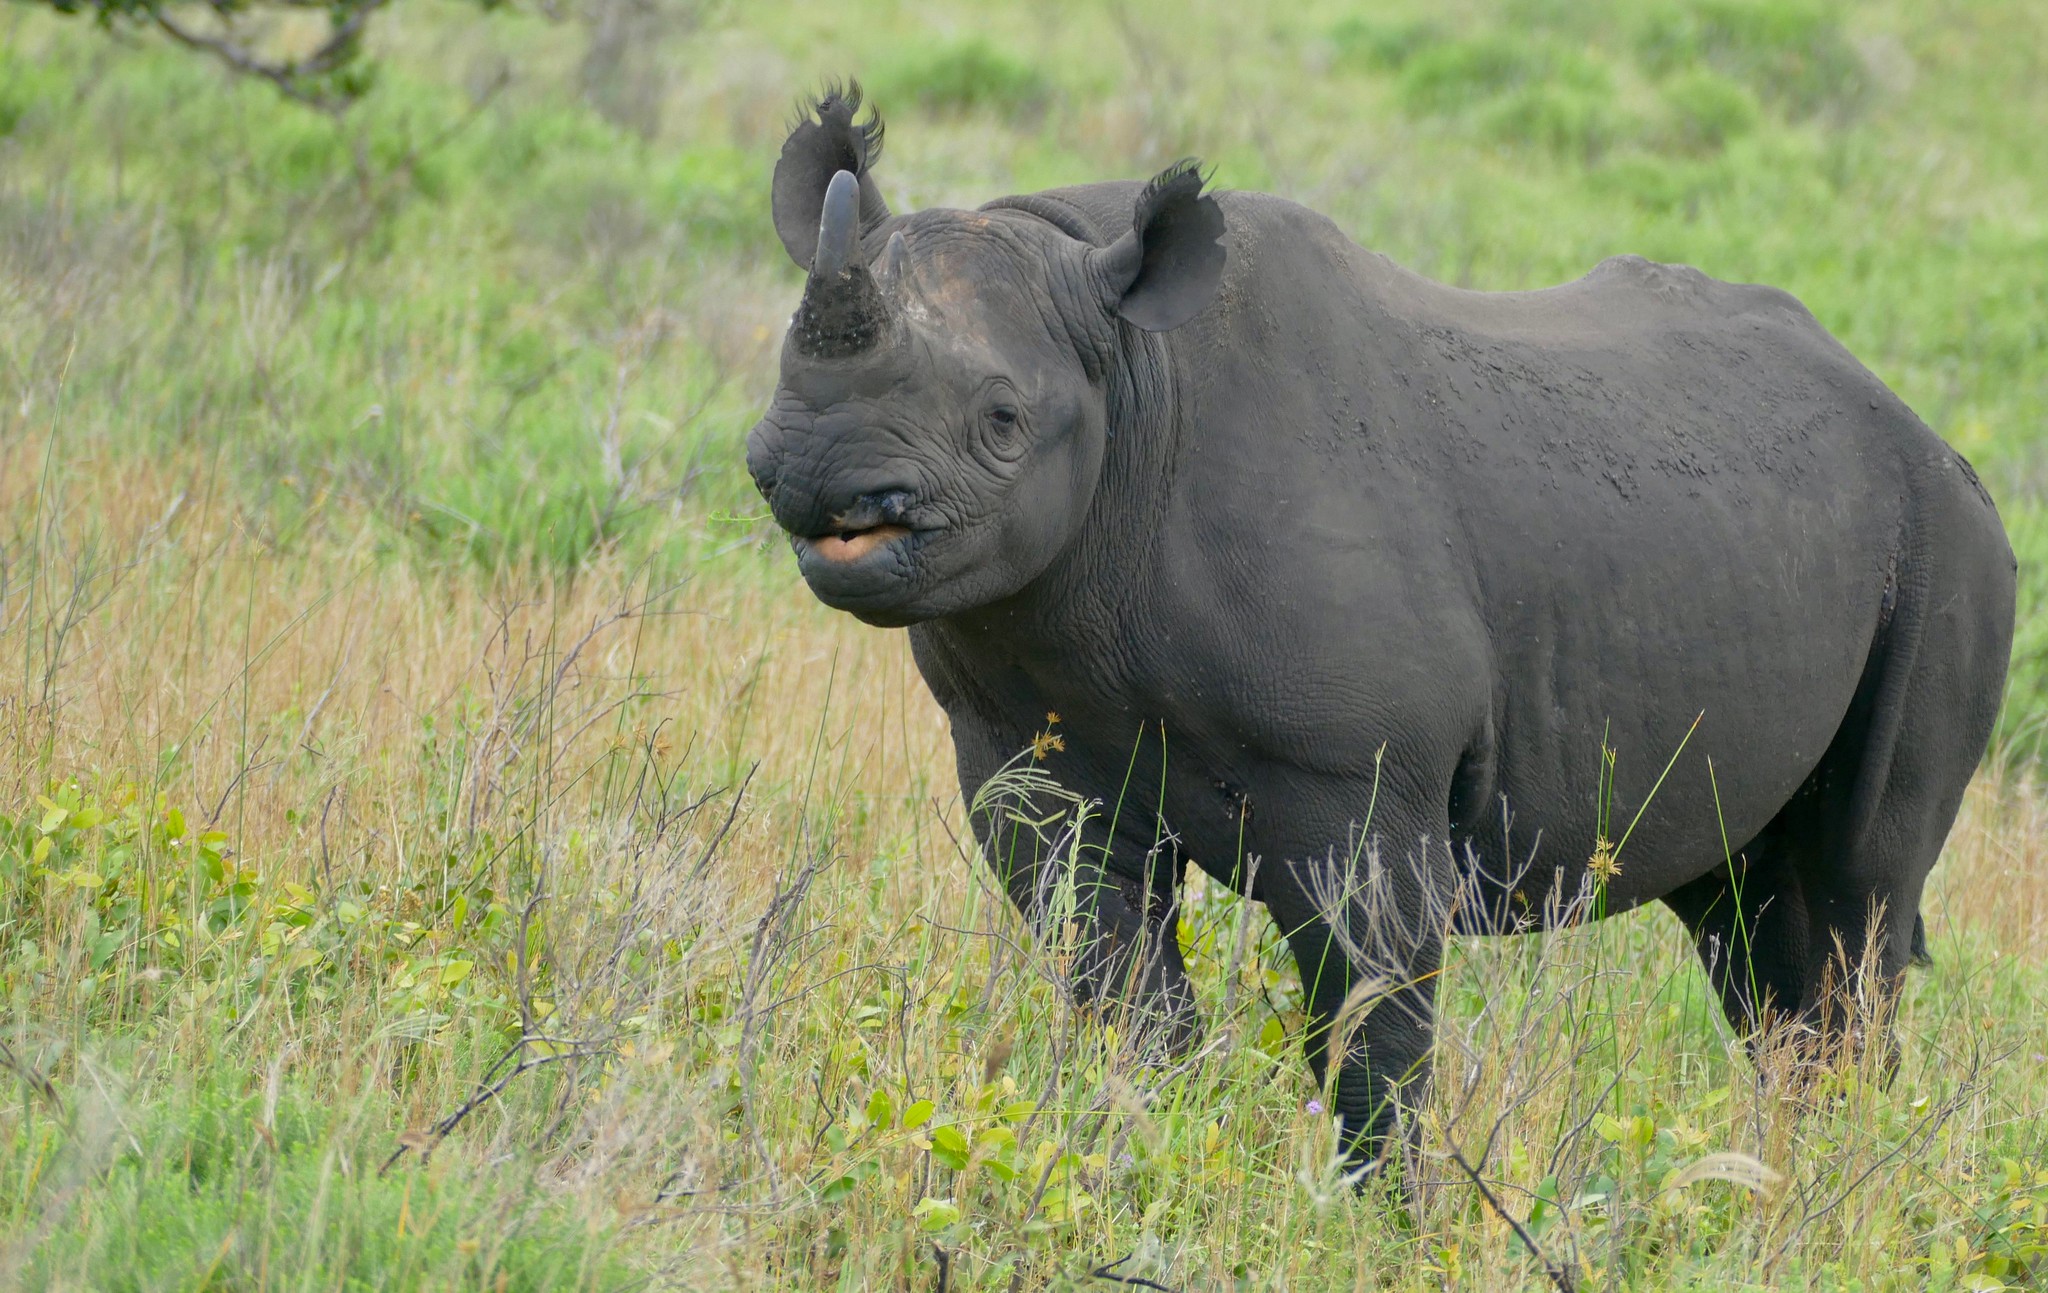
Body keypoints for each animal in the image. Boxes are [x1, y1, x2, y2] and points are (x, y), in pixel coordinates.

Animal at [745, 85, 2016, 1164]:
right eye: (777, 376)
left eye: (1002, 420)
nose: (811, 473)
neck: (1127, 380)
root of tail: (1923, 426)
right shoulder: (1024, 756)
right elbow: (1114, 981)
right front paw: (1154, 1154)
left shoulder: (1356, 784)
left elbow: (1371, 1022)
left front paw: (1384, 1218)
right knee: (1747, 919)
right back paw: (1785, 1167)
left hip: (1946, 541)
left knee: (1856, 894)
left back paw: (1830, 1168)